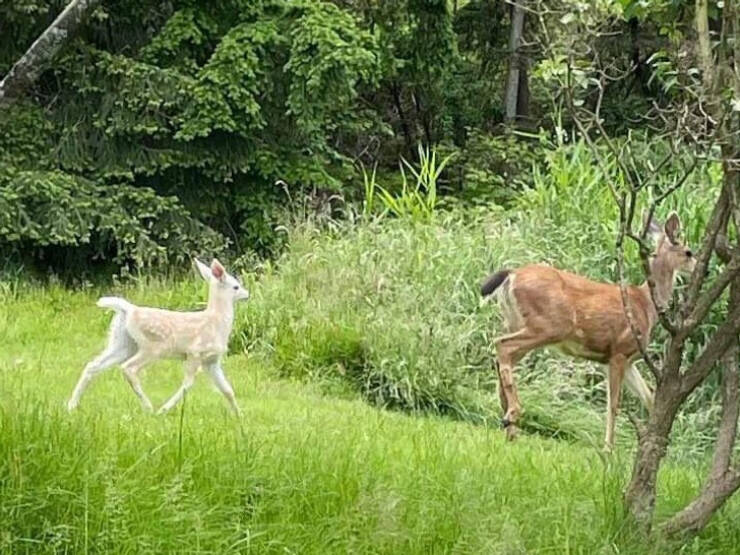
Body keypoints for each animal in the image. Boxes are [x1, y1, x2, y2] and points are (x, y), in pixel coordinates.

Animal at [482, 213, 696, 452]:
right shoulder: (619, 351)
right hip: (549, 326)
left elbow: (649, 397)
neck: (647, 305)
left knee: (503, 355)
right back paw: (512, 414)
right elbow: (613, 404)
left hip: (516, 322)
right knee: (502, 344)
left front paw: (658, 443)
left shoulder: (626, 359)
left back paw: (510, 427)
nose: (700, 268)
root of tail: (511, 275)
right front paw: (608, 449)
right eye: (689, 252)